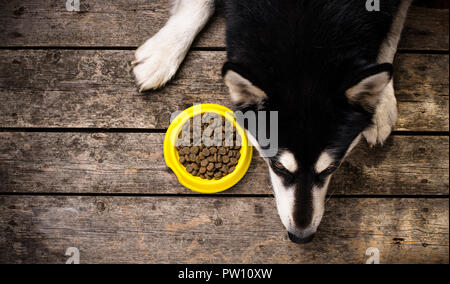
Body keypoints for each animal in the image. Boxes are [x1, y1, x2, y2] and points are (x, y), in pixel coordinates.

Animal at [133, 0, 412, 244]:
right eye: (277, 166)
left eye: (331, 168)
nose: (301, 237)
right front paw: (164, 52)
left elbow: (391, 34)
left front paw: (381, 103)